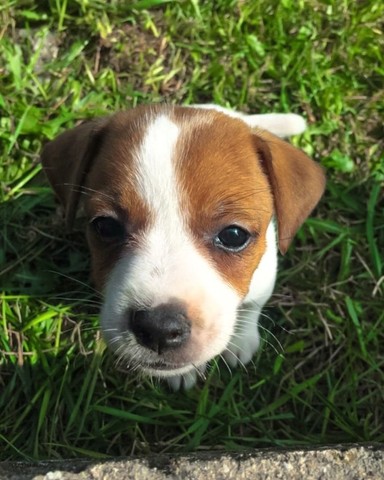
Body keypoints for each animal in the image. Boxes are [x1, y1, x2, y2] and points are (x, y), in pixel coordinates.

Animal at [41, 103, 324, 388]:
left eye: (234, 235)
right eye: (106, 227)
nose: (159, 327)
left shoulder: (264, 276)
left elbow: (252, 306)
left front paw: (242, 339)